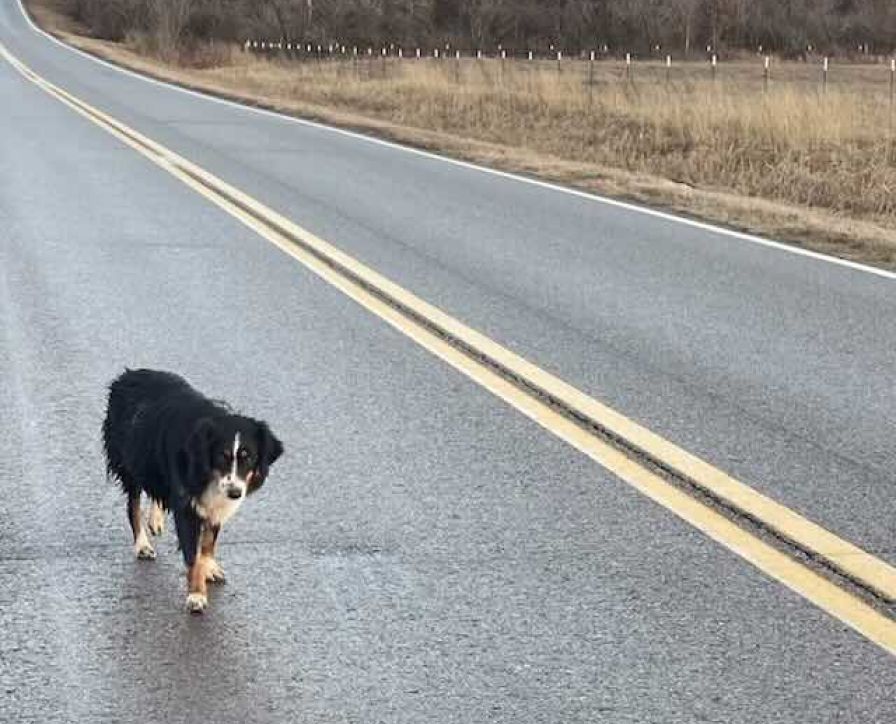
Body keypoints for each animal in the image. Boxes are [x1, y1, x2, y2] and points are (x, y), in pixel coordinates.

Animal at [101, 370, 284, 612]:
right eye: (222, 456)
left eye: (249, 457)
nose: (235, 493)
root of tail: (128, 374)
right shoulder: (187, 505)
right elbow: (192, 555)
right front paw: (196, 595)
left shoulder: (216, 504)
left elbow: (208, 542)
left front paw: (209, 568)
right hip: (131, 461)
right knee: (133, 505)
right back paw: (142, 545)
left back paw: (156, 519)